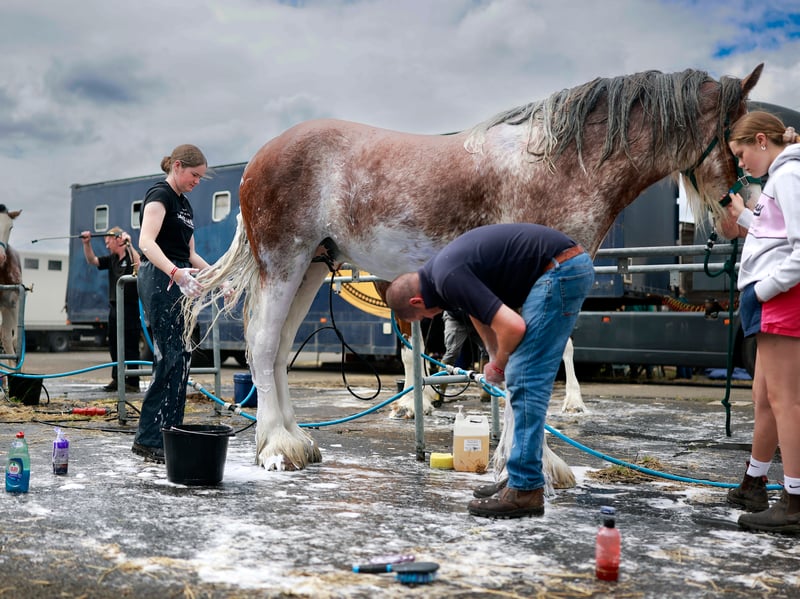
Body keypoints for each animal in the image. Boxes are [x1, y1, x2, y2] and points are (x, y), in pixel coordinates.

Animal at [186, 64, 763, 474]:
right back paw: (275, 449)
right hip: (284, 260)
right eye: (743, 140)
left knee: (281, 347)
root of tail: (260, 159)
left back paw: (295, 441)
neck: (562, 165)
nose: (750, 212)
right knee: (263, 345)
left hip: (310, 266)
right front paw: (530, 465)